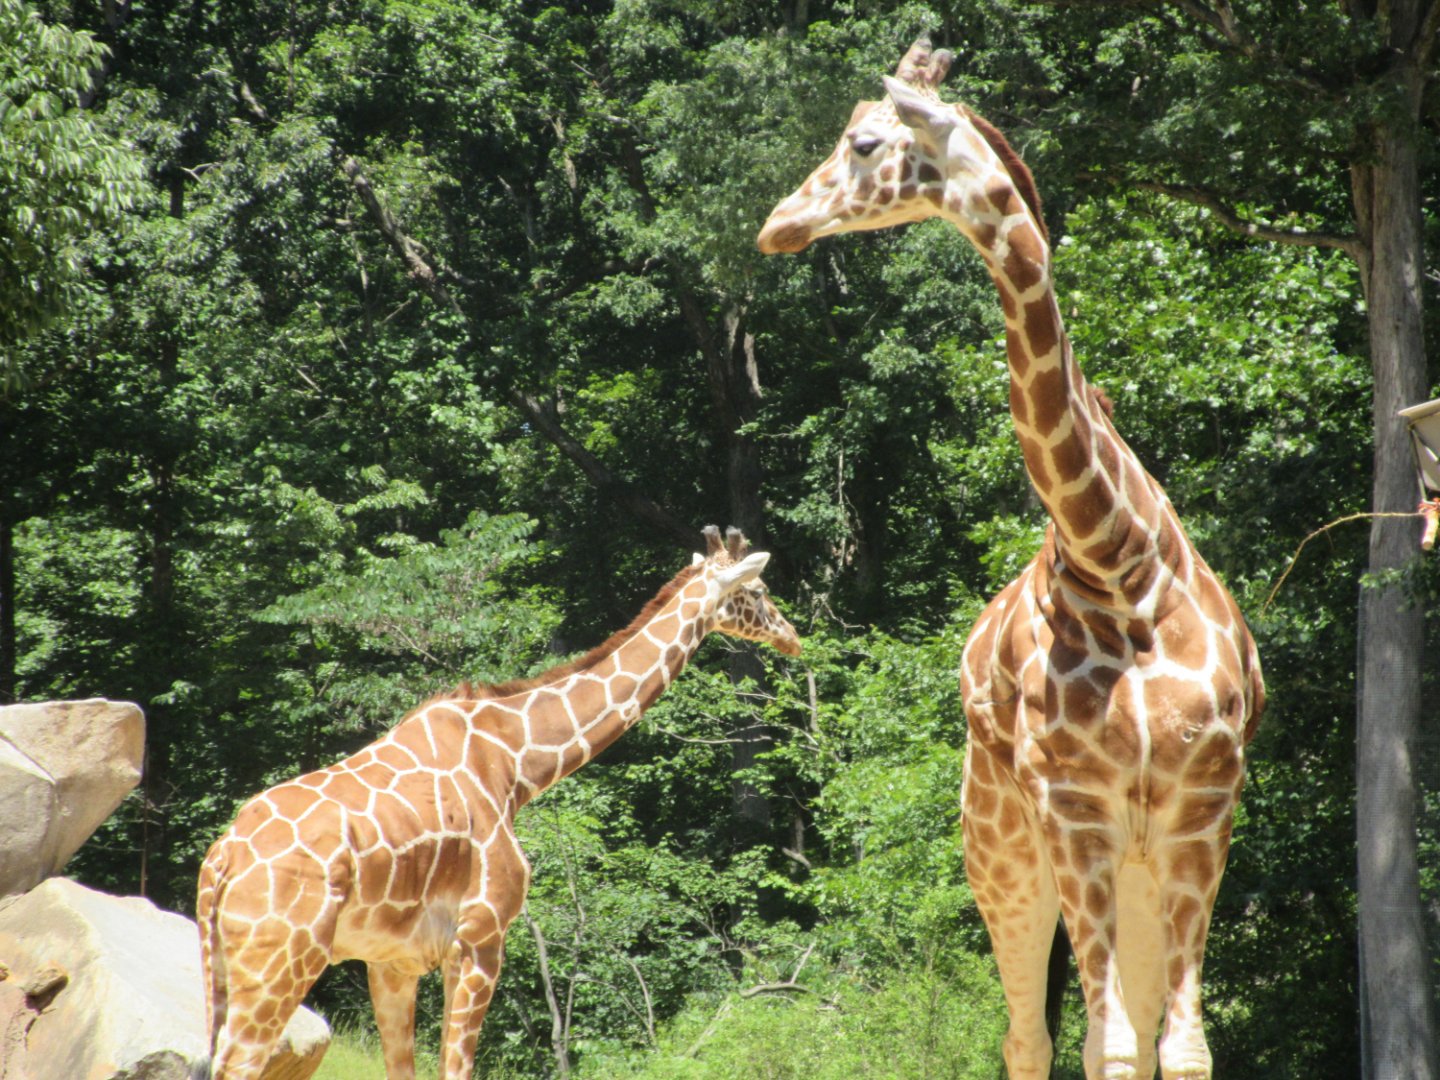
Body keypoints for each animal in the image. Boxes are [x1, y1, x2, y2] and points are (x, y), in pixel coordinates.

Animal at [197, 526, 800, 1080]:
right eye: (759, 590)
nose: (793, 638)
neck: (514, 762)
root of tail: (221, 861)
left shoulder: (392, 959)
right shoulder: (481, 935)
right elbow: (457, 1068)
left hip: (224, 967)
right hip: (281, 962)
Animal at [758, 39, 1264, 1080]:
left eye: (863, 142)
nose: (776, 225)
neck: (1118, 560)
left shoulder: (1202, 808)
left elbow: (1180, 1046)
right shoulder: (1073, 809)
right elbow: (1107, 1045)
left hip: (1133, 867)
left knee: (1125, 1020)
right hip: (1001, 852)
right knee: (1027, 1035)